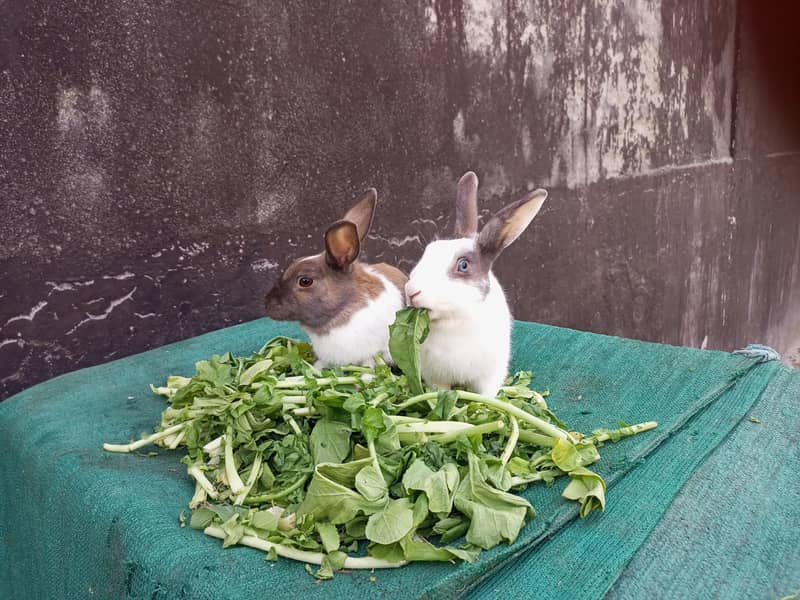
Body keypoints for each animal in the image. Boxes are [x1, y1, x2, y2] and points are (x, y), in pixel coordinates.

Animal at [264, 188, 407, 368]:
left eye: (305, 281)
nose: (267, 305)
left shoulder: (372, 355)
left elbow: (368, 367)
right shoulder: (326, 357)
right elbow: (320, 365)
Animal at [404, 171, 547, 397]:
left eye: (463, 265)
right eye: (428, 251)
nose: (411, 291)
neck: (453, 321)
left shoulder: (488, 377)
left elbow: (485, 396)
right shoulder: (436, 378)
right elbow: (439, 391)